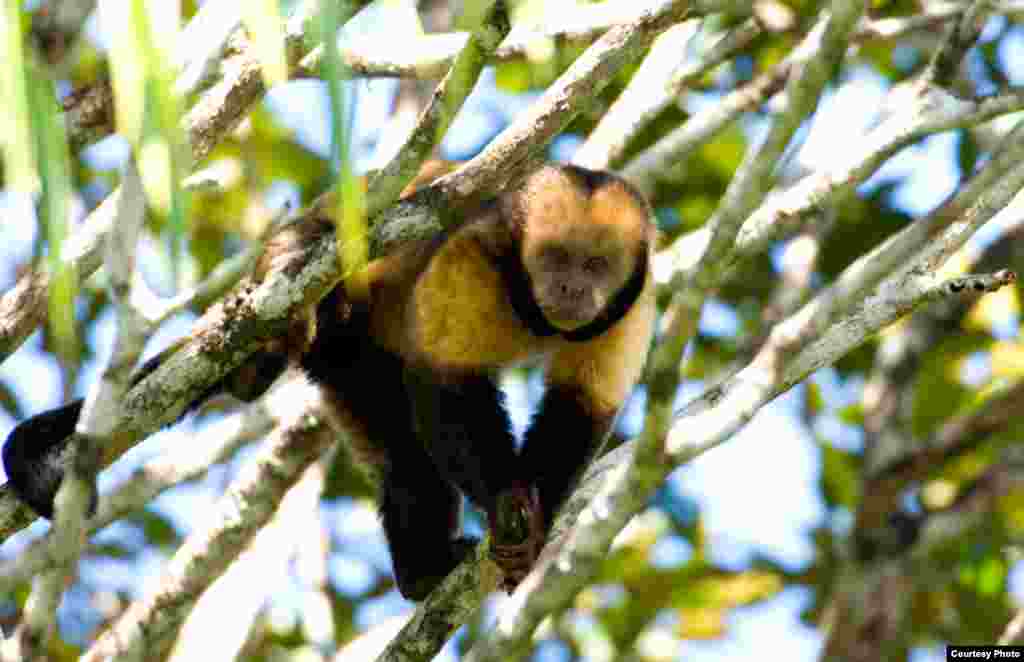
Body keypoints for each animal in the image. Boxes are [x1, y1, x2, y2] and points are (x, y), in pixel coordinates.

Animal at [2, 163, 656, 600]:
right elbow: (445, 386)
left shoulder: (631, 303)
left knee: (405, 461)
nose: (571, 288)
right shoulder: (475, 254)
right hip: (342, 340)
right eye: (555, 258)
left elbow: (582, 409)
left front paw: (534, 520)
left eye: (595, 265)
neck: (532, 312)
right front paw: (504, 502)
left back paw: (422, 574)